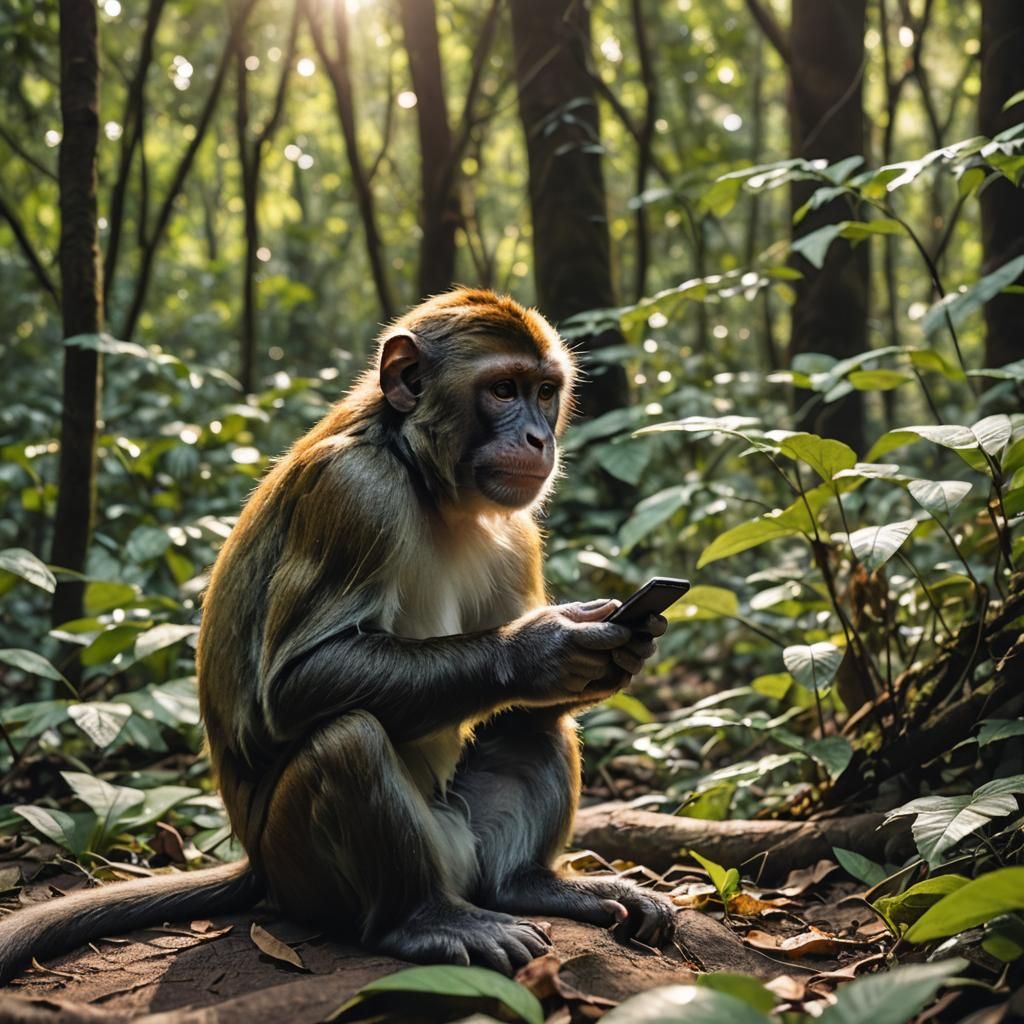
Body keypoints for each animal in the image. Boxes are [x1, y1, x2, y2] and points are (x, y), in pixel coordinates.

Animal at [0, 288, 674, 980]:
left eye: (544, 392)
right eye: (504, 389)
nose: (539, 438)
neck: (422, 473)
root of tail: (257, 867)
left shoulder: (516, 531)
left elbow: (525, 704)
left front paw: (617, 648)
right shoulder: (354, 492)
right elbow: (299, 681)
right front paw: (542, 650)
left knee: (534, 727)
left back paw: (525, 884)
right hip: (302, 870)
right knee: (348, 739)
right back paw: (424, 920)